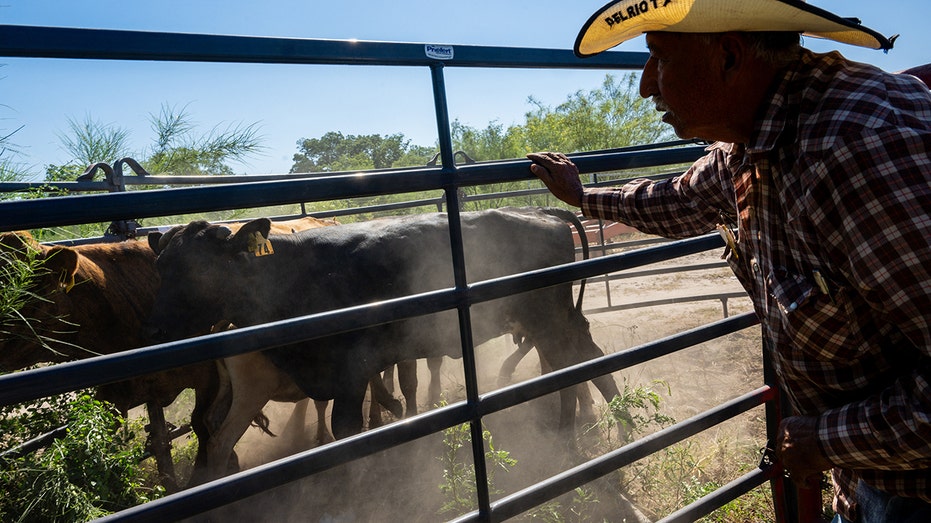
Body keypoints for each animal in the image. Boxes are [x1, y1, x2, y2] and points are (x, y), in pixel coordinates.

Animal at [149, 207, 624, 482]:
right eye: (161, 265)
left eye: (198, 269)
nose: (155, 333)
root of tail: (544, 215)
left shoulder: (351, 370)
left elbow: (348, 428)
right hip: (555, 320)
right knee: (582, 357)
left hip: (547, 318)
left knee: (568, 363)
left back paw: (570, 435)